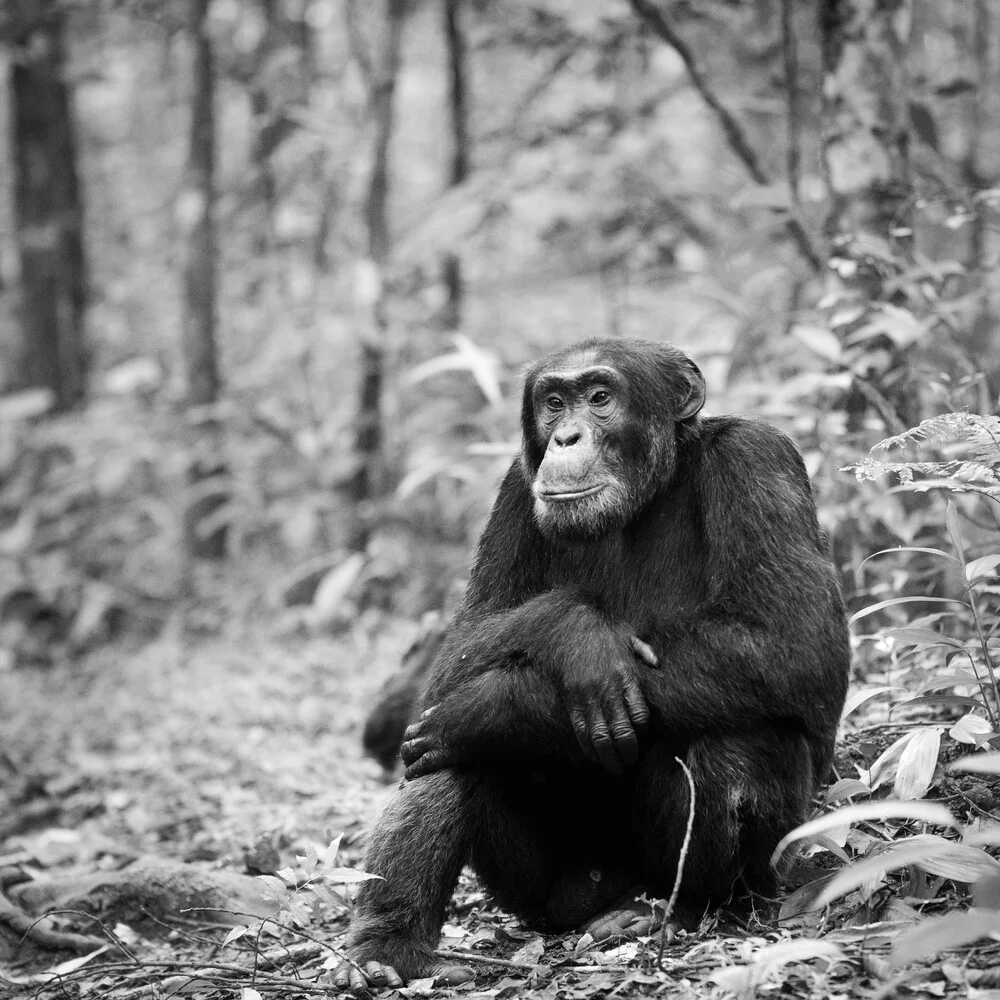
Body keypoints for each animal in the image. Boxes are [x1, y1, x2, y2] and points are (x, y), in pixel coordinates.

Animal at [332, 338, 848, 992]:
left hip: (749, 869)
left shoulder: (759, 459)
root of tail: (594, 894)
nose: (567, 436)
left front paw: (505, 704)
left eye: (600, 397)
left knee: (737, 736)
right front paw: (574, 634)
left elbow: (791, 640)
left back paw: (680, 908)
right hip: (538, 891)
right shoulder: (514, 487)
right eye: (554, 402)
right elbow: (461, 643)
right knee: (444, 748)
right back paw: (387, 948)